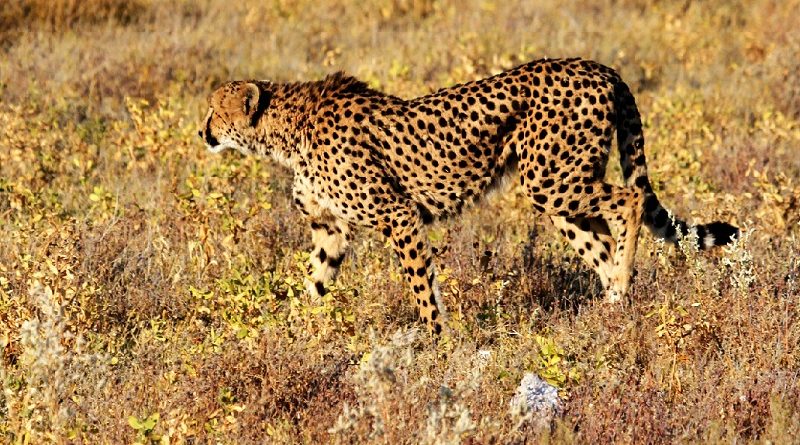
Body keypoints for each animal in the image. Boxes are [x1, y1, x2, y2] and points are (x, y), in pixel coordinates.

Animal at [199, 57, 739, 335]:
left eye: (213, 110)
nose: (202, 131)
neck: (287, 130)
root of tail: (598, 65)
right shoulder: (330, 228)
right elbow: (314, 281)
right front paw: (287, 331)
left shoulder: (397, 214)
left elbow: (421, 288)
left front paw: (436, 344)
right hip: (557, 191)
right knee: (601, 239)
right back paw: (611, 309)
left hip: (554, 179)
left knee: (628, 201)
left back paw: (622, 288)